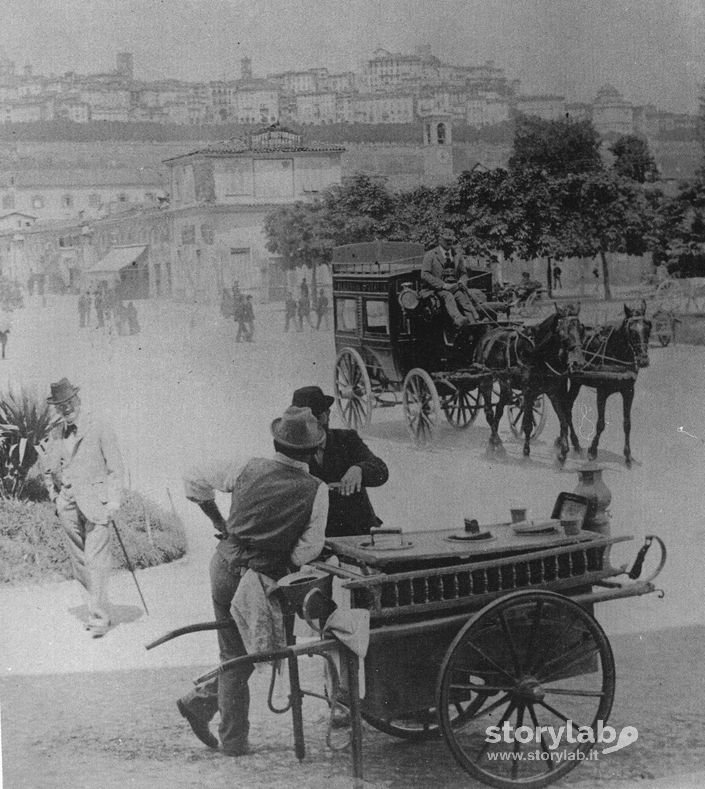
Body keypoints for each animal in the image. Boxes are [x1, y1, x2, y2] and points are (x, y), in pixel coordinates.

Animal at [472, 304, 584, 462]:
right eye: (562, 331)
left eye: (581, 329)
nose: (578, 362)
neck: (538, 353)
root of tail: (487, 336)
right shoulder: (529, 392)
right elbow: (527, 424)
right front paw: (526, 454)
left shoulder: (555, 391)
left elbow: (564, 419)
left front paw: (564, 452)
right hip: (485, 379)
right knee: (489, 412)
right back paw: (495, 446)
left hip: (505, 384)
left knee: (499, 409)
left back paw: (494, 445)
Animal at [560, 300, 652, 462]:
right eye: (631, 331)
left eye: (648, 327)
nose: (643, 360)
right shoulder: (602, 392)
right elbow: (600, 423)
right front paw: (592, 450)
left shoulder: (629, 391)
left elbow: (627, 423)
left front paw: (628, 455)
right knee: (564, 407)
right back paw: (574, 443)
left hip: (576, 381)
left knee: (566, 406)